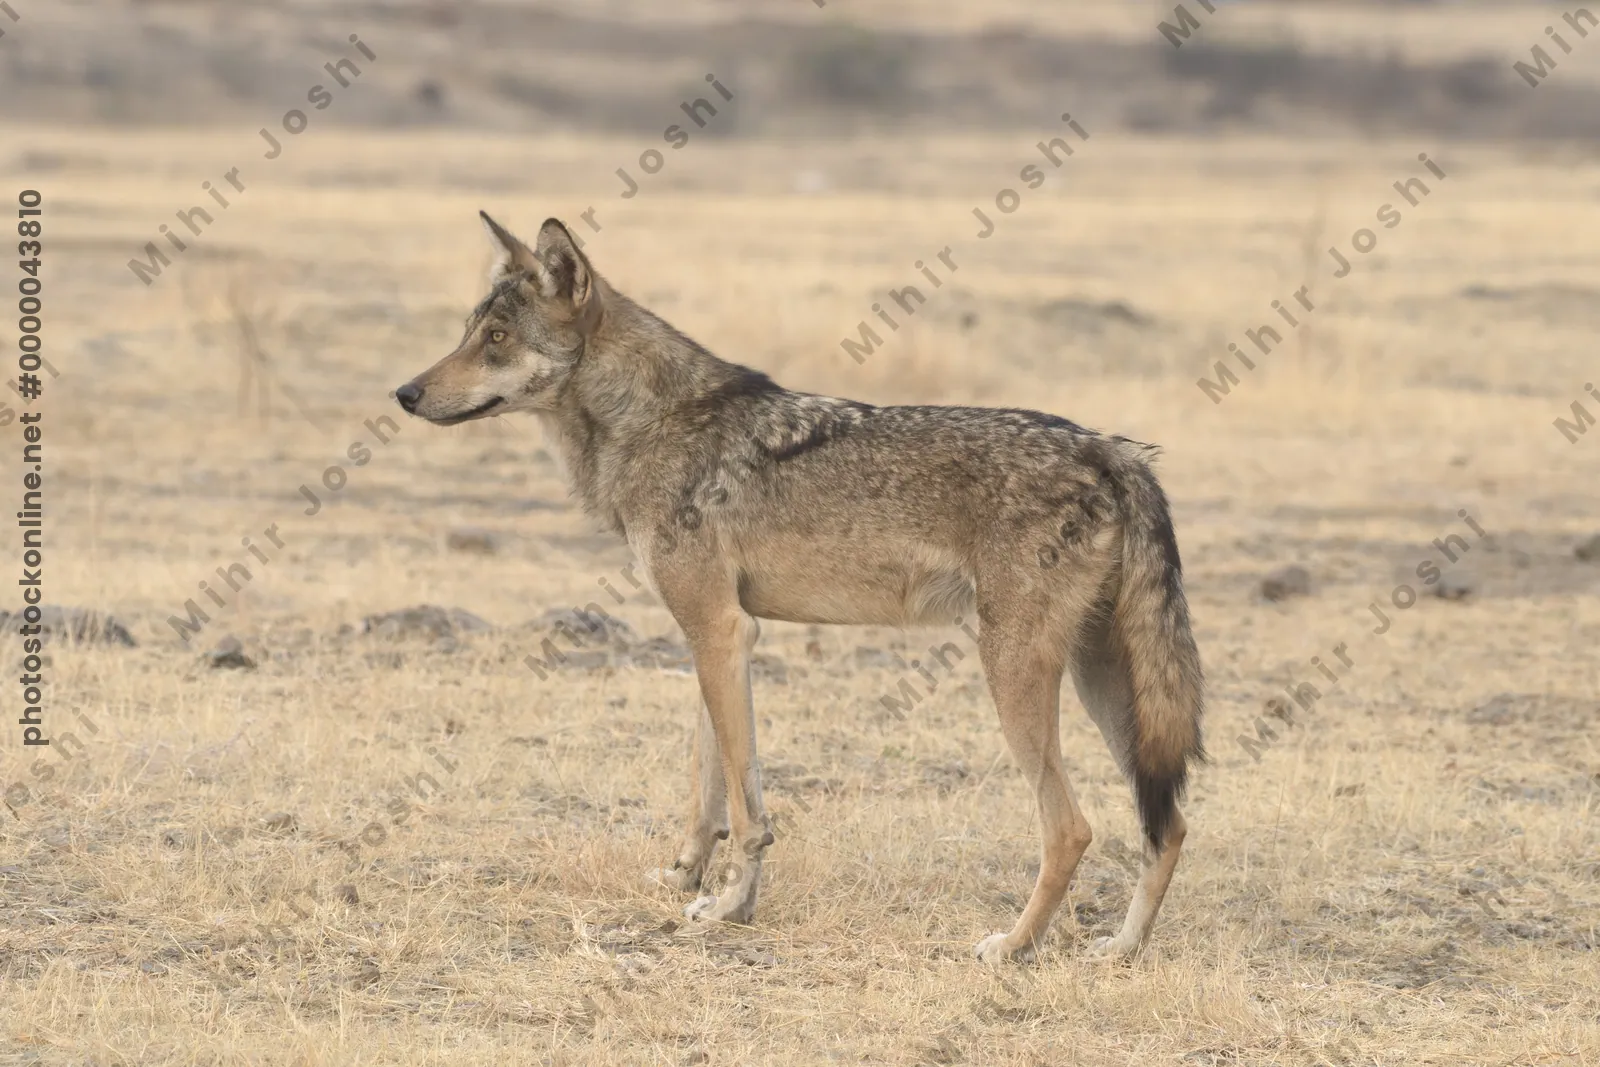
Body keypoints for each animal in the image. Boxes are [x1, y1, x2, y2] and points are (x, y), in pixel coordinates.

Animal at [394, 213, 1206, 962]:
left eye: (497, 337)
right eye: (469, 332)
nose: (404, 392)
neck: (656, 422)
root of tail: (1118, 455)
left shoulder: (722, 630)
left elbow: (747, 809)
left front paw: (731, 907)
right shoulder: (712, 636)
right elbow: (707, 787)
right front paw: (685, 879)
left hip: (1015, 670)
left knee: (1072, 828)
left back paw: (1012, 946)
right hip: (1106, 684)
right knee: (1166, 823)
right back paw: (1121, 949)